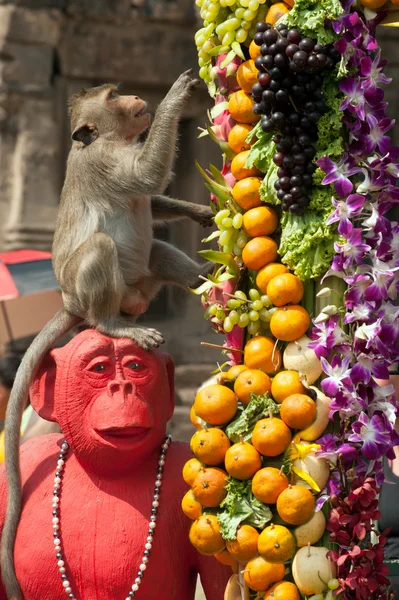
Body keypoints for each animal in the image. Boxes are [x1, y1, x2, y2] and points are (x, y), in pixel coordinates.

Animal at [0, 69, 216, 596]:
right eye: (115, 96)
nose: (138, 96)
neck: (109, 140)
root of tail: (68, 303)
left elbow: (152, 198)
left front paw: (198, 213)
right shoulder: (105, 162)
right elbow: (144, 176)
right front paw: (178, 94)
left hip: (139, 288)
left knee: (155, 249)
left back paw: (207, 279)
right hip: (94, 294)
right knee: (100, 248)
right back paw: (115, 324)